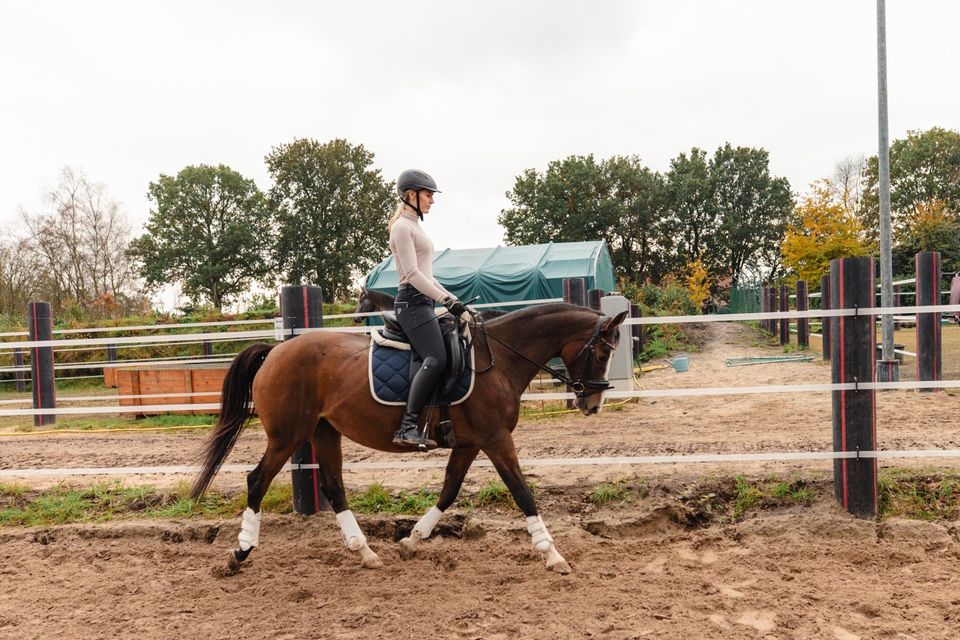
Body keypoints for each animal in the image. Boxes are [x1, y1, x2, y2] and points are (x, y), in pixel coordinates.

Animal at [194, 304, 632, 576]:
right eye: (601, 353)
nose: (593, 403)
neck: (499, 360)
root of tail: (276, 351)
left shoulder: (470, 443)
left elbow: (449, 490)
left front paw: (411, 541)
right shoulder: (495, 439)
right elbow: (523, 492)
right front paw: (554, 555)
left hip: (323, 431)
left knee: (334, 487)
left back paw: (366, 552)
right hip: (288, 435)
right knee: (257, 481)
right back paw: (240, 553)